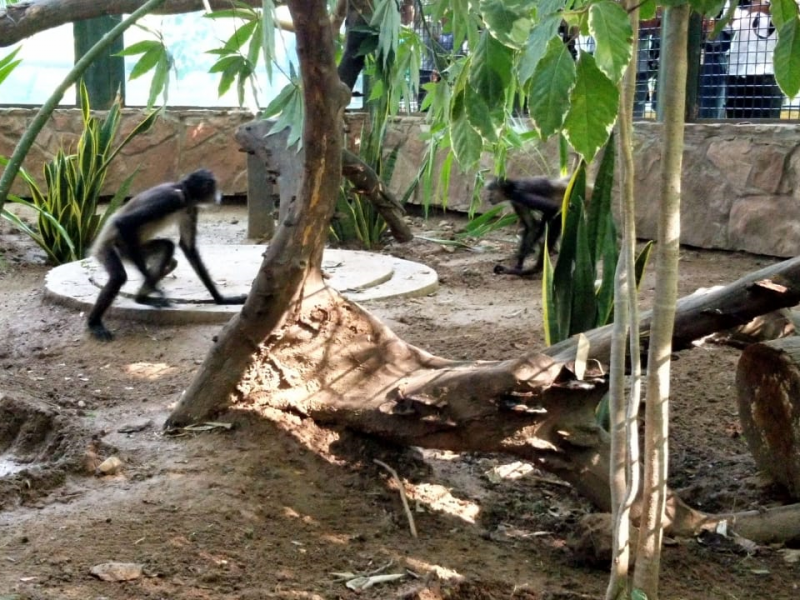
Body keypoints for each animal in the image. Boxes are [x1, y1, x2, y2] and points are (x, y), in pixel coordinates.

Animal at [87, 168, 247, 342]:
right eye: (213, 186)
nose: (220, 195)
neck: (183, 190)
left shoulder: (190, 208)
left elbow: (188, 248)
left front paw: (221, 300)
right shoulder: (172, 199)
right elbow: (124, 223)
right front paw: (157, 289)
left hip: (131, 250)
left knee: (166, 247)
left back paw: (141, 299)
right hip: (109, 248)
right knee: (118, 276)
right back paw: (94, 323)